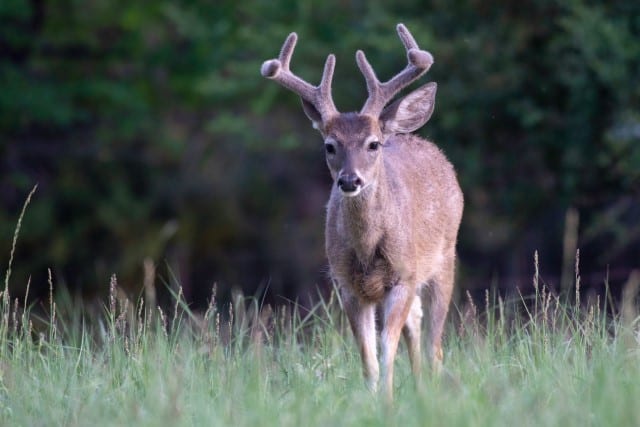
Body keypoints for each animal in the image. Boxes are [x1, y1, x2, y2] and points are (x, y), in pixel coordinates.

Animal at [262, 23, 464, 400]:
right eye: (330, 146)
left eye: (373, 144)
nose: (349, 180)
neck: (369, 251)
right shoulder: (347, 285)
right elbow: (367, 356)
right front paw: (374, 400)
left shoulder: (403, 275)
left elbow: (387, 348)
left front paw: (387, 400)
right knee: (416, 324)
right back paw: (418, 388)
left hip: (444, 259)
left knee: (435, 343)